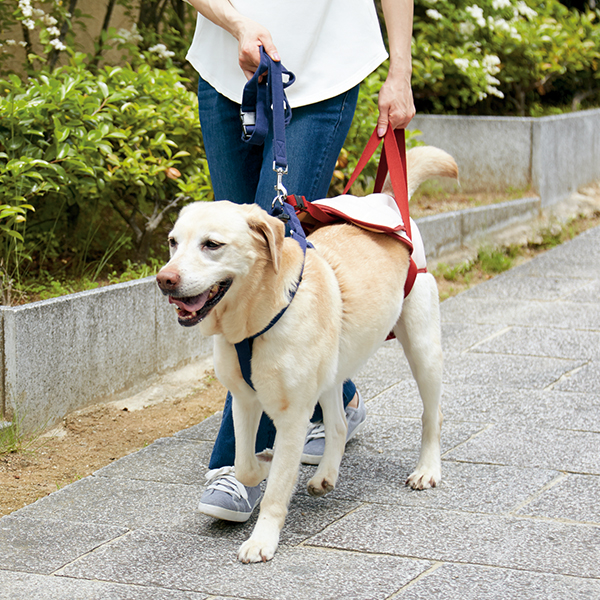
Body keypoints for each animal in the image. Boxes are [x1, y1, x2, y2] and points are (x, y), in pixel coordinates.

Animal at [157, 145, 458, 564]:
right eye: (173, 242)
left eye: (211, 245)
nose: (164, 280)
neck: (254, 319)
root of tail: (388, 201)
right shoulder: (244, 399)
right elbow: (245, 463)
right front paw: (255, 473)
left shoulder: (292, 415)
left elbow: (276, 490)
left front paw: (263, 539)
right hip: (331, 370)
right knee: (339, 423)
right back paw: (325, 475)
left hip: (423, 348)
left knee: (433, 415)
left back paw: (427, 468)